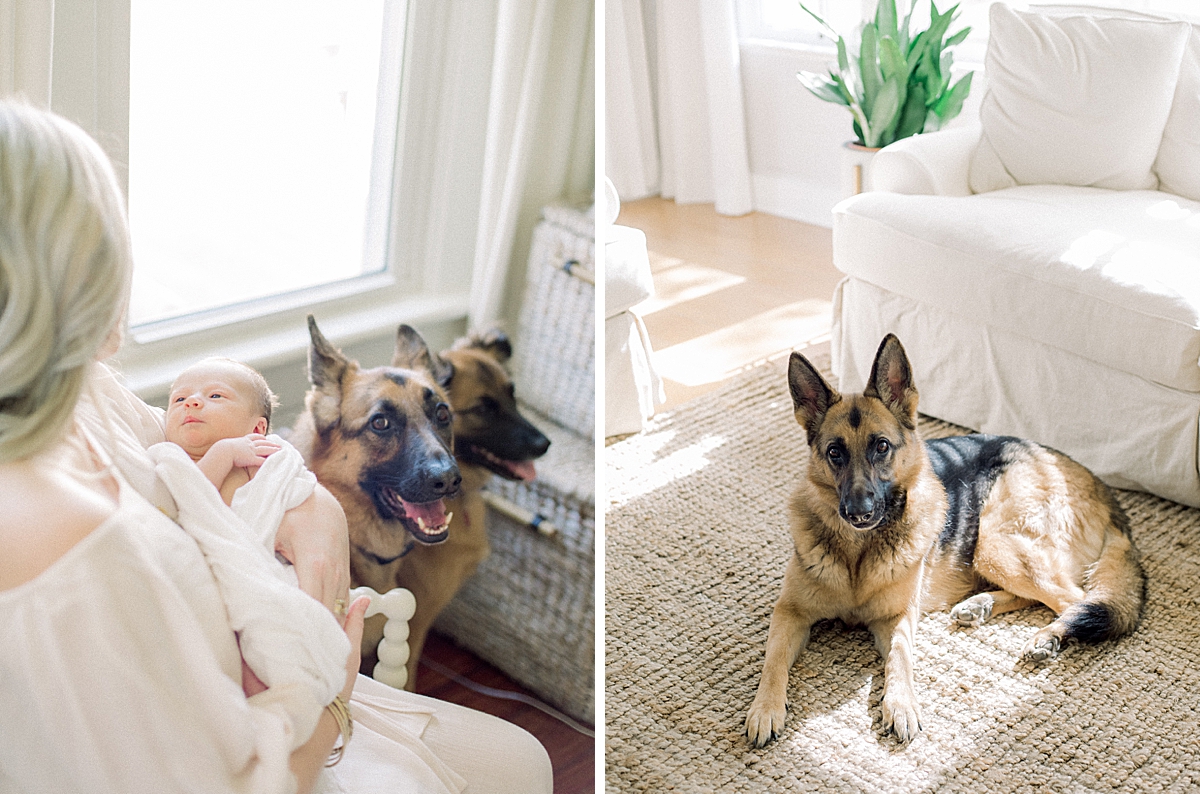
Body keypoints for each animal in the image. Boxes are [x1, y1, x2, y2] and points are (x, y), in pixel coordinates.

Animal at [744, 335, 1147, 748]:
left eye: (882, 447)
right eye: (834, 452)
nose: (858, 513)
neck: (858, 553)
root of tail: (1097, 484)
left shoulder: (898, 619)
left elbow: (900, 658)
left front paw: (901, 705)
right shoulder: (789, 613)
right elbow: (772, 660)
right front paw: (765, 708)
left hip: (994, 541)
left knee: (1076, 600)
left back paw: (1045, 637)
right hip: (992, 548)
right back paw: (979, 605)